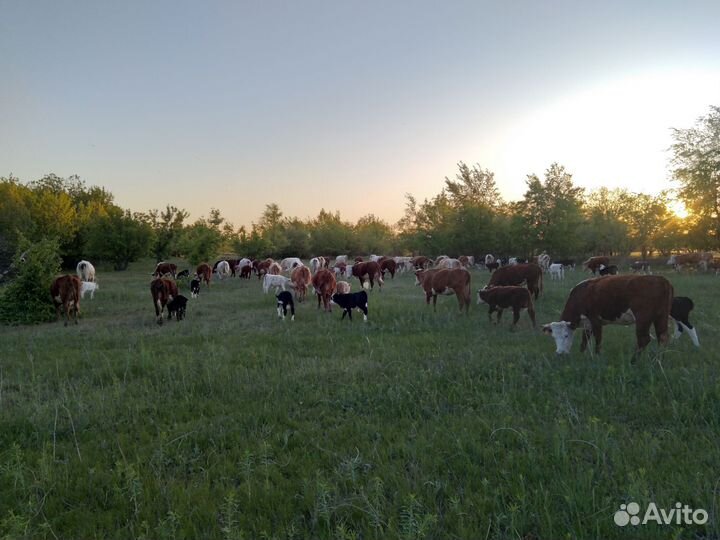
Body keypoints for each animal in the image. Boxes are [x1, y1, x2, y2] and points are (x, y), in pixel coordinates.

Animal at [542, 275, 673, 355]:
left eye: (566, 335)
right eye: (554, 337)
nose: (559, 353)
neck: (581, 294)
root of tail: (660, 279)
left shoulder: (595, 319)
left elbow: (598, 340)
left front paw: (597, 357)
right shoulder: (587, 324)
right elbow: (584, 341)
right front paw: (582, 354)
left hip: (643, 318)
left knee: (644, 339)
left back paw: (633, 362)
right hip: (661, 316)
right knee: (662, 337)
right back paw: (658, 360)